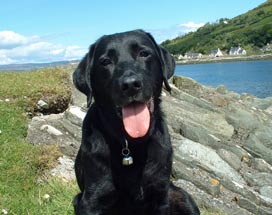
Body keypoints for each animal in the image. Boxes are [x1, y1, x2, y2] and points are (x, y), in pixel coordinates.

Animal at [72, 29, 200, 215]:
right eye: (105, 61)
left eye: (144, 53)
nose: (131, 85)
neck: (132, 144)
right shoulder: (91, 201)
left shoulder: (160, 196)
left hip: (182, 196)